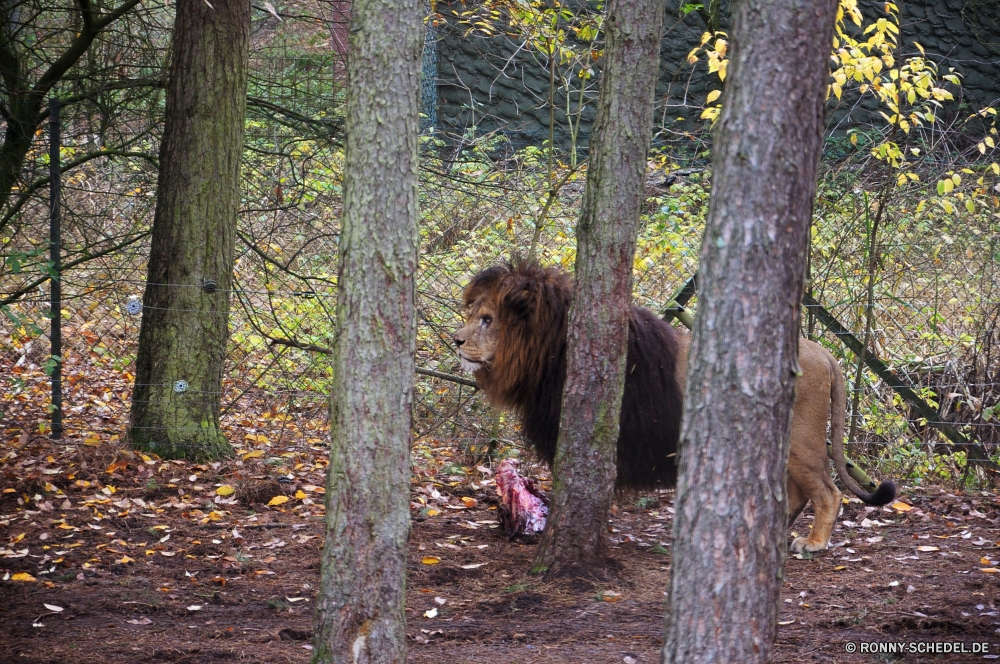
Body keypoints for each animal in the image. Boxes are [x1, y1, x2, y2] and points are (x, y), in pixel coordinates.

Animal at [456, 262, 900, 552]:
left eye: (487, 319)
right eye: (472, 314)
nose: (456, 341)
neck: (547, 354)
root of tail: (825, 353)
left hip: (802, 441)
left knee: (828, 493)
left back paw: (813, 543)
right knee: (798, 493)